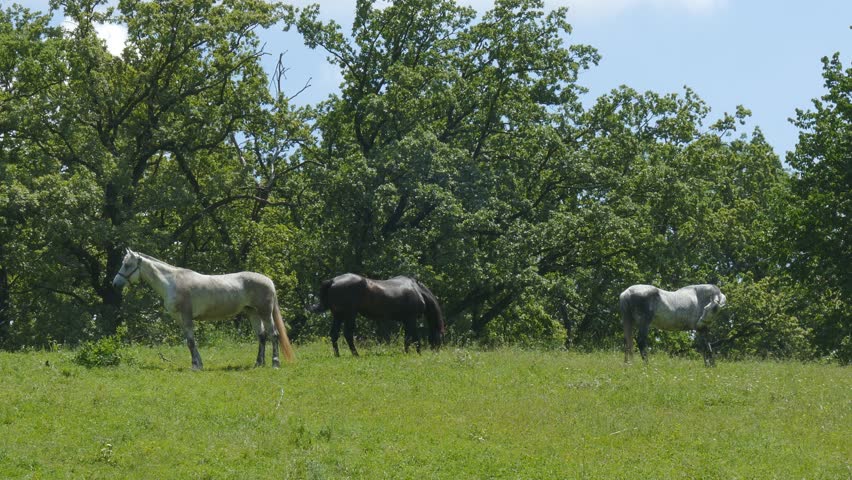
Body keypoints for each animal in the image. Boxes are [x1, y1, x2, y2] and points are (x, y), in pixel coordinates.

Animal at [112, 249, 294, 369]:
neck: (171, 282)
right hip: (252, 313)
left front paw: (195, 366)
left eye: (127, 265)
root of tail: (269, 281)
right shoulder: (180, 319)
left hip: (265, 312)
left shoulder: (186, 316)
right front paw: (198, 363)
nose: (115, 283)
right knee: (261, 336)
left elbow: (191, 341)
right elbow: (189, 341)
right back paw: (258, 363)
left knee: (273, 335)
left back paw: (275, 363)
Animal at [308, 273, 444, 357]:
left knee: (334, 334)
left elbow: (407, 339)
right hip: (349, 315)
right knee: (348, 334)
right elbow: (415, 339)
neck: (417, 291)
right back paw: (356, 354)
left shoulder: (406, 321)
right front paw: (418, 354)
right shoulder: (411, 320)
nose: (436, 352)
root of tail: (333, 281)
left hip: (338, 315)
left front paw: (406, 353)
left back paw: (337, 355)